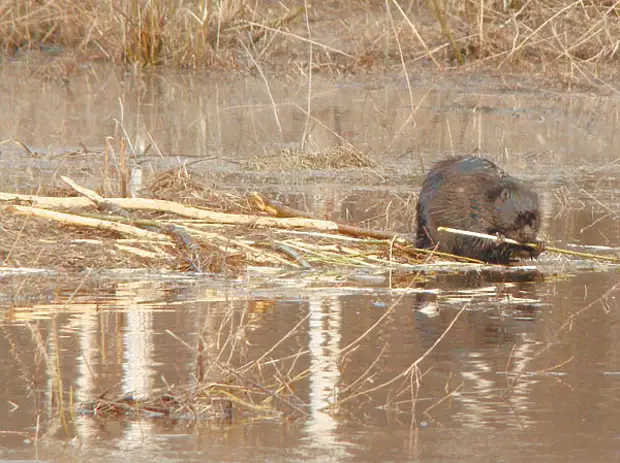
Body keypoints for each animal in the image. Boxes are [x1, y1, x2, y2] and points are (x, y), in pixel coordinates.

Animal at [416, 157, 544, 262]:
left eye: (534, 219)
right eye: (518, 216)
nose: (528, 235)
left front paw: (538, 244)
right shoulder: (471, 208)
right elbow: (475, 234)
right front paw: (498, 238)